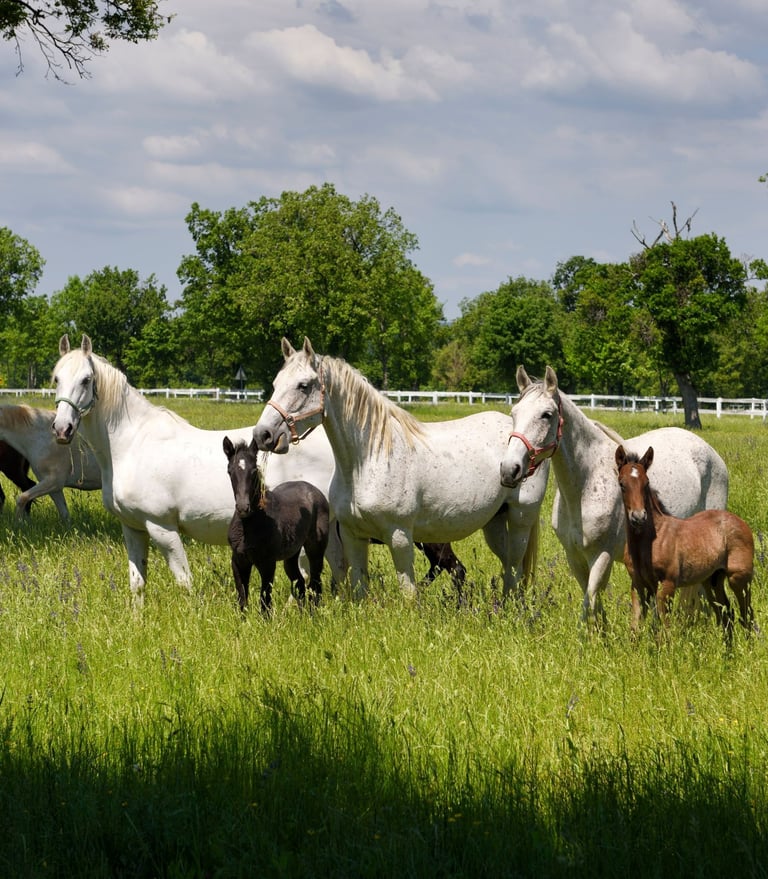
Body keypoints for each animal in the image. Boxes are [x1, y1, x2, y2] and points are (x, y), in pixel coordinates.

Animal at [224, 436, 329, 612]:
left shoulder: (267, 563)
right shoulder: (238, 561)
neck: (248, 526)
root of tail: (313, 489)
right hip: (291, 554)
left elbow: (265, 599)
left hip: (315, 548)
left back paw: (314, 613)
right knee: (299, 582)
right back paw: (302, 615)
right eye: (230, 471)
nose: (243, 507)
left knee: (315, 582)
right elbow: (242, 598)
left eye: (254, 471)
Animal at [251, 337, 550, 601]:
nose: (263, 434)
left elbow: (408, 593)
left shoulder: (400, 537)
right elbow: (358, 588)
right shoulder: (352, 536)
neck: (367, 460)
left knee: (514, 564)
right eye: (275, 384)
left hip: (520, 518)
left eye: (303, 386)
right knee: (507, 566)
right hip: (495, 521)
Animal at [500, 365, 730, 625]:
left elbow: (589, 600)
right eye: (514, 413)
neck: (585, 486)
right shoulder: (574, 556)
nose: (510, 469)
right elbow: (593, 601)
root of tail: (710, 452)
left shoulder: (603, 555)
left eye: (546, 415)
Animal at [616, 444, 754, 637]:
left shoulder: (667, 585)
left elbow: (665, 631)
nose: (639, 517)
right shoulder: (638, 585)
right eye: (622, 484)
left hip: (739, 578)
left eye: (647, 483)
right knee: (727, 615)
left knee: (747, 616)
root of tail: (739, 521)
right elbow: (634, 629)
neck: (650, 542)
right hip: (712, 580)